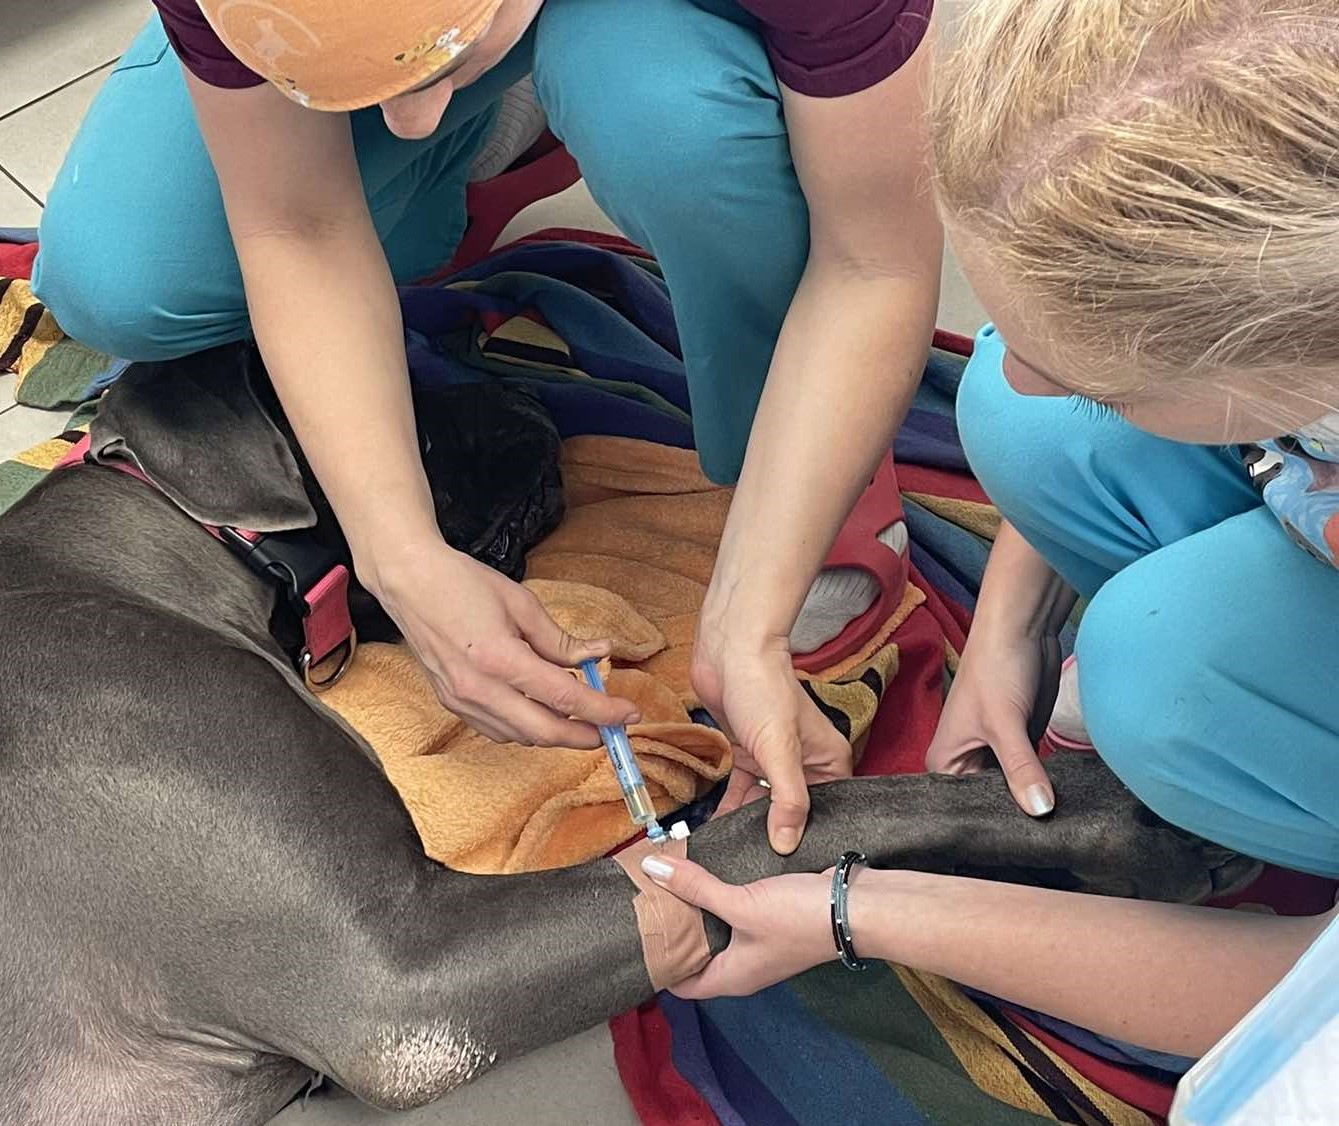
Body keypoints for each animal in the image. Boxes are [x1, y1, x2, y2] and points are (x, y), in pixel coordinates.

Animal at [0, 348, 1253, 1119]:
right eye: (408, 416)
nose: (528, 405)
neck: (172, 534)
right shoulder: (402, 980)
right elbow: (805, 819)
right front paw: (1116, 825)